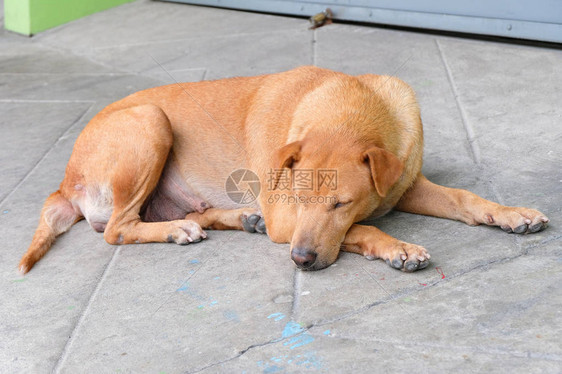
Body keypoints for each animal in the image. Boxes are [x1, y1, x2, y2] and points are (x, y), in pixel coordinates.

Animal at [18, 65, 548, 274]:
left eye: (341, 202)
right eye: (299, 199)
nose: (301, 260)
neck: (349, 108)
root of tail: (63, 181)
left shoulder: (404, 182)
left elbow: (465, 199)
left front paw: (513, 213)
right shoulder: (286, 218)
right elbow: (363, 229)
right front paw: (396, 247)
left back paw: (234, 218)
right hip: (149, 120)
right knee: (116, 229)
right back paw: (177, 231)